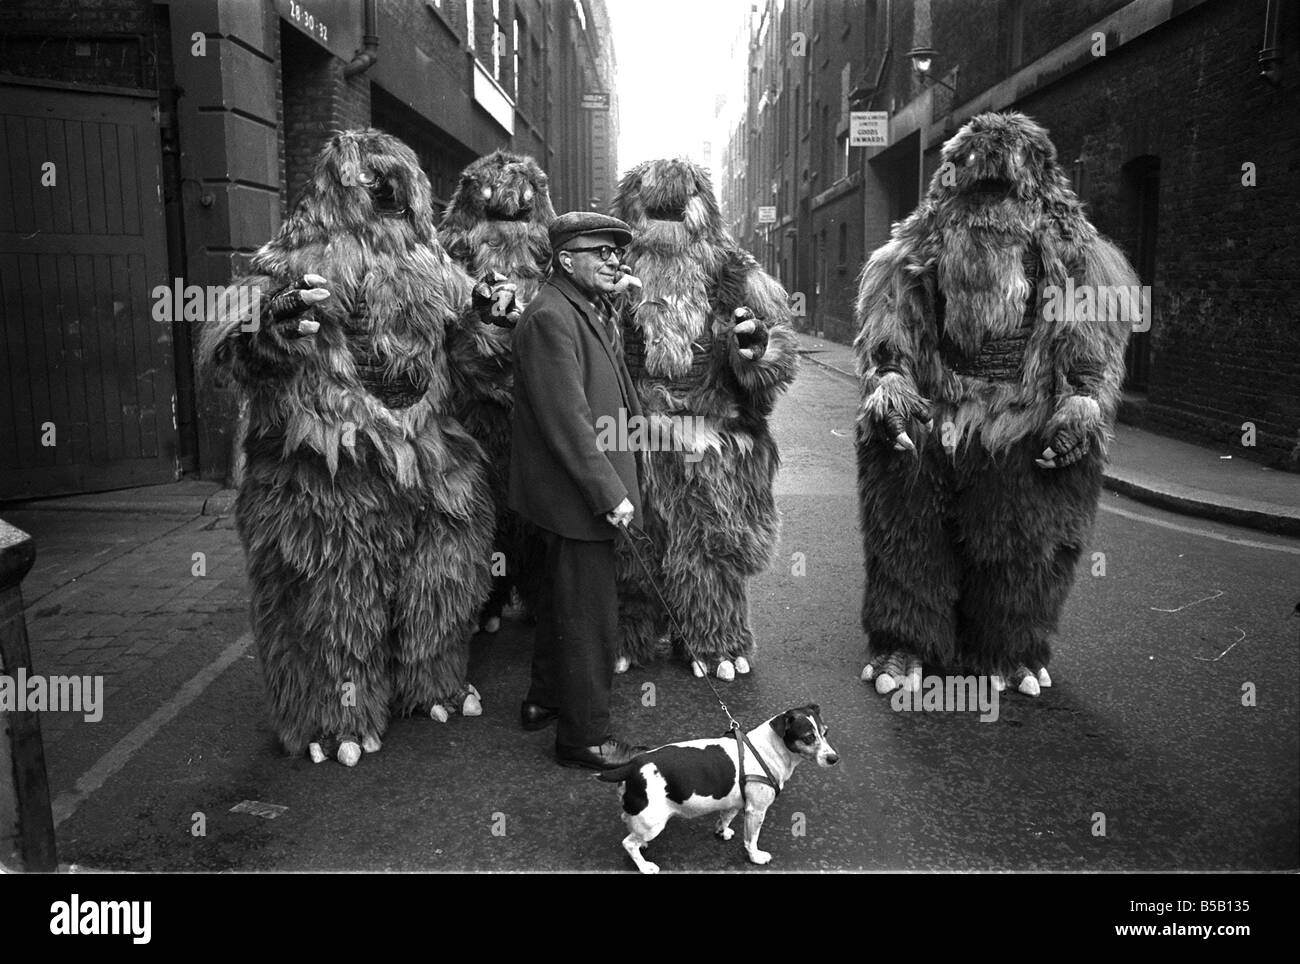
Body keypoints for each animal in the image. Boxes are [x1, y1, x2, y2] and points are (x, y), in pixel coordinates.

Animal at [595, 701, 837, 878]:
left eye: (826, 732)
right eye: (808, 737)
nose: (834, 758)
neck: (770, 749)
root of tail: (633, 765)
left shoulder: (734, 803)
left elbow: (725, 818)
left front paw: (722, 831)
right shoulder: (756, 811)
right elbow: (751, 840)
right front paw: (755, 857)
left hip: (642, 814)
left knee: (627, 822)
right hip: (654, 822)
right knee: (628, 843)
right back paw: (645, 866)